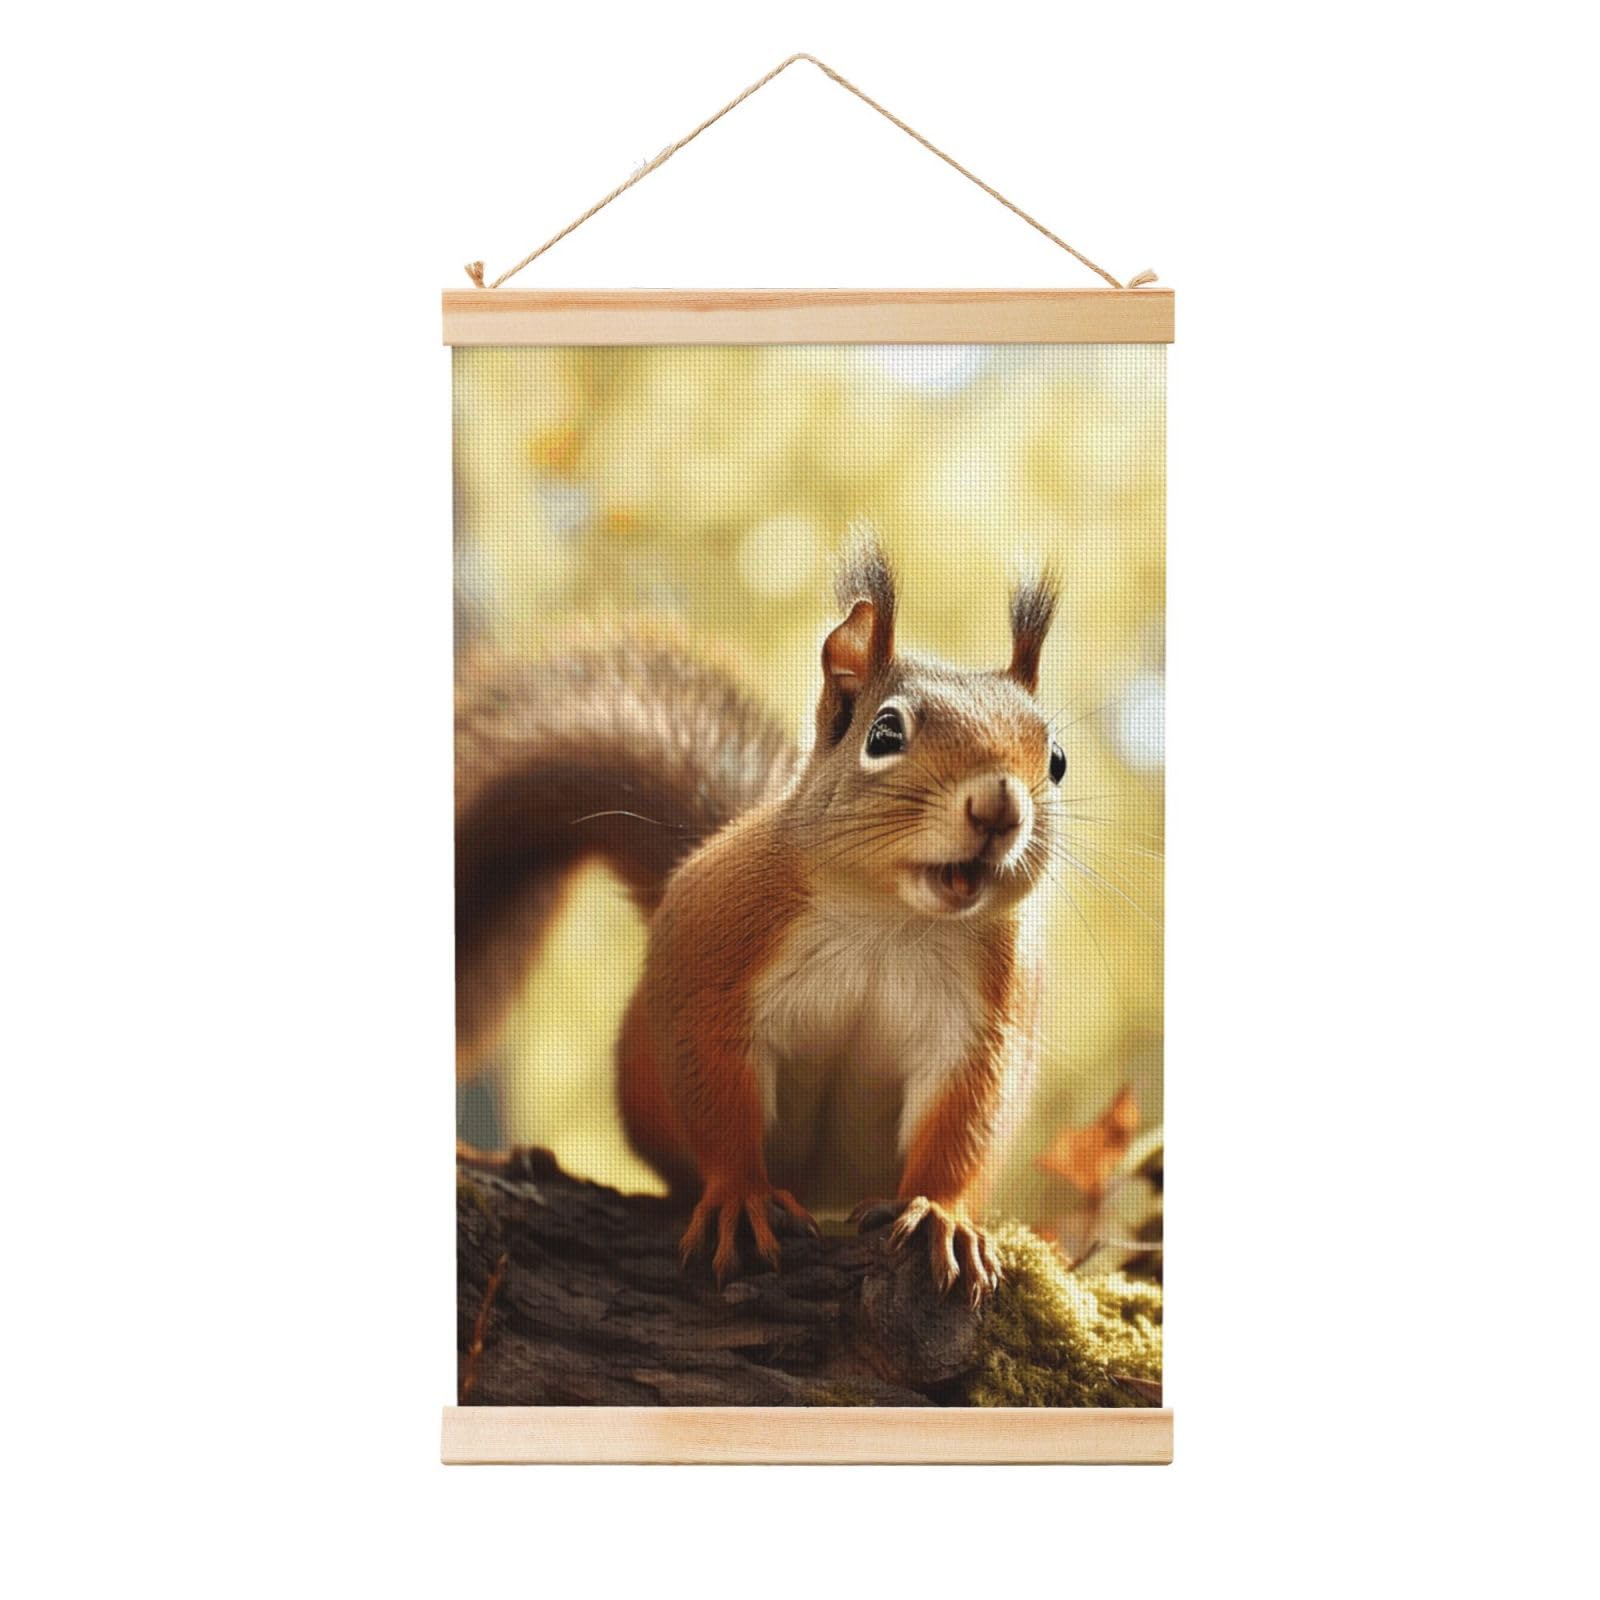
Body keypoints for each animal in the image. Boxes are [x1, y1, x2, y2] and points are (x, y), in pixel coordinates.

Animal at [455, 539, 1064, 1306]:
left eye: (1056, 760)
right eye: (885, 732)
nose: (999, 807)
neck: (889, 919)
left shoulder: (987, 1017)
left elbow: (963, 1123)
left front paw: (941, 1214)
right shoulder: (718, 952)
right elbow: (717, 1090)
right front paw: (741, 1197)